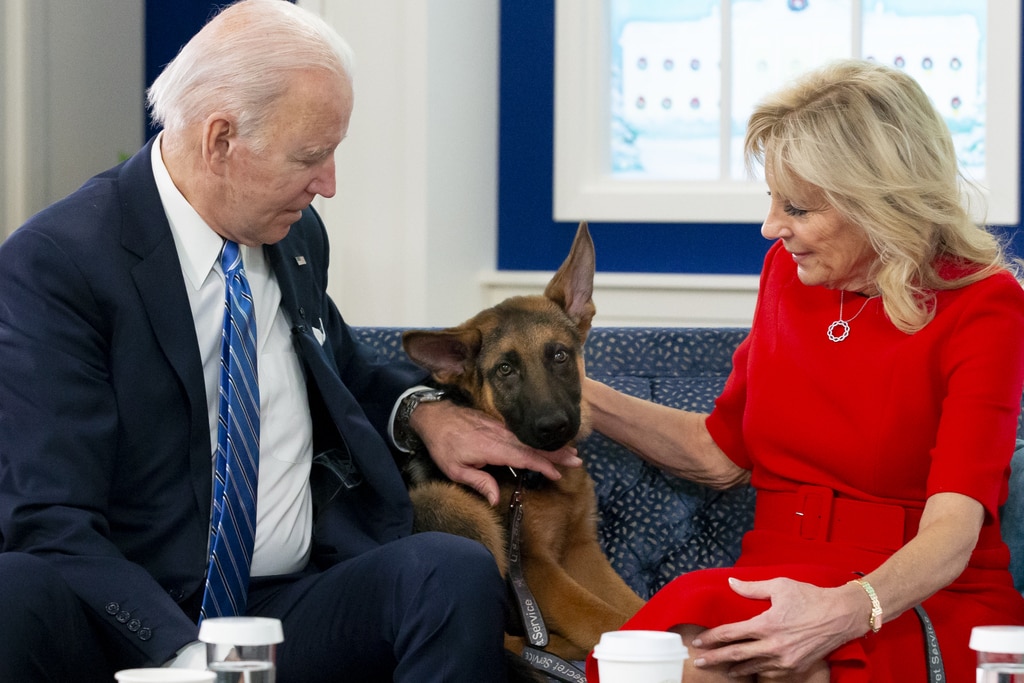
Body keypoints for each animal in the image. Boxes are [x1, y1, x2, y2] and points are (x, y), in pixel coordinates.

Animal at [403, 223, 643, 663]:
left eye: (560, 356)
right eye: (505, 370)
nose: (553, 427)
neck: (525, 476)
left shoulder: (580, 549)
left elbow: (634, 604)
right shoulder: (536, 568)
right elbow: (605, 618)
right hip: (449, 502)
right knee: (502, 640)